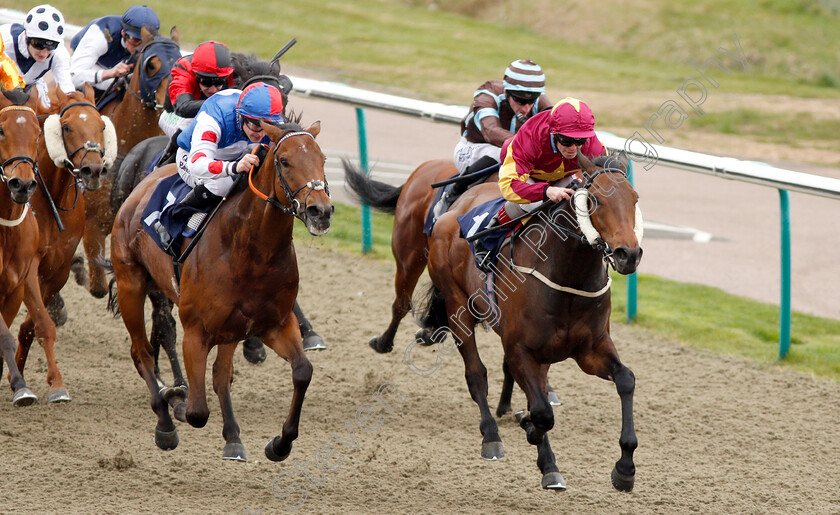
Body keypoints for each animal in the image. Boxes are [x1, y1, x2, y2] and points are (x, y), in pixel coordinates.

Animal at [12, 84, 116, 404]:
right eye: (67, 127)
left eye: (101, 125)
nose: (93, 170)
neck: (51, 199)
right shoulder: (26, 265)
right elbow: (43, 323)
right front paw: (56, 385)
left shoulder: (57, 270)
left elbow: (31, 325)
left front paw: (18, 376)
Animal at [110, 122, 332, 464]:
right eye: (284, 161)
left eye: (322, 159)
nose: (321, 210)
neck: (253, 251)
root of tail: (143, 183)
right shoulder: (195, 333)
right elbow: (197, 411)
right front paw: (176, 399)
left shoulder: (274, 325)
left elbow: (302, 371)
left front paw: (279, 444)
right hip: (130, 285)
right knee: (142, 353)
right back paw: (165, 420)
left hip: (228, 328)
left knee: (218, 373)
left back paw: (232, 438)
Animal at [420, 153, 644, 492]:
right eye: (595, 200)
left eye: (634, 199)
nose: (628, 254)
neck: (565, 276)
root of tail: (455, 209)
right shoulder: (521, 350)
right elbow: (542, 413)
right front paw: (540, 449)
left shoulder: (590, 349)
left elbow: (626, 379)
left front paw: (625, 468)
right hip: (457, 305)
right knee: (476, 374)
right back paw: (491, 436)